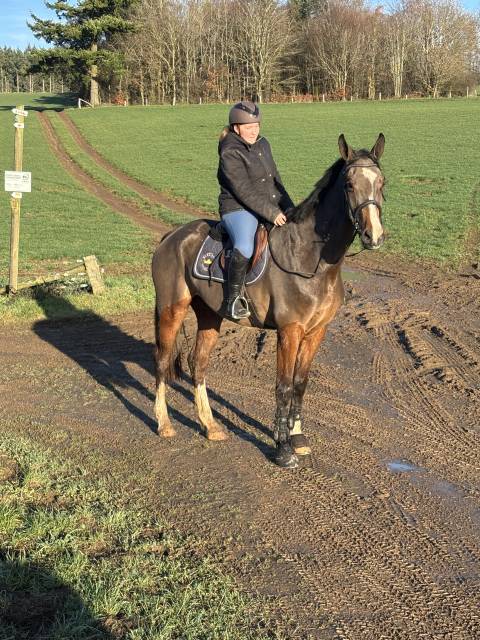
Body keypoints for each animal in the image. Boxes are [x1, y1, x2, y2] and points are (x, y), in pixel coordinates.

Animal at [151, 133, 386, 468]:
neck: (309, 258)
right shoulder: (290, 331)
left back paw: (210, 426)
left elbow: (300, 383)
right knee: (160, 361)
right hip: (171, 309)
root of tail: (172, 236)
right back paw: (164, 423)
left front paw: (298, 439)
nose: (373, 236)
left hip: (209, 315)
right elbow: (283, 386)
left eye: (381, 182)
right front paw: (283, 448)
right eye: (349, 185)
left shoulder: (316, 332)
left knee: (199, 365)